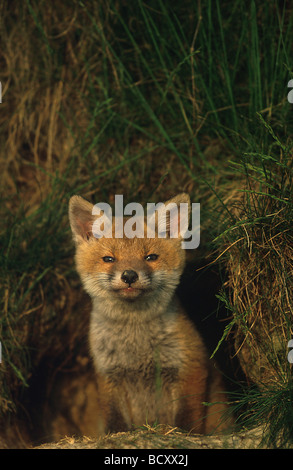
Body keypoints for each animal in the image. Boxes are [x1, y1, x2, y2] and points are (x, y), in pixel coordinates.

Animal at [68, 192, 230, 434]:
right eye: (109, 259)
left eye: (150, 257)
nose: (129, 275)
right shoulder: (109, 376)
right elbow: (115, 422)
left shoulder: (190, 367)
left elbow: (187, 419)